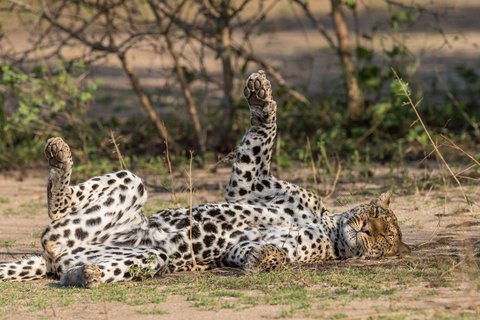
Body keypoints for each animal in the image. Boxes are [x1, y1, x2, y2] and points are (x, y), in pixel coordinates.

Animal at [0, 70, 408, 288]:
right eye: (375, 215)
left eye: (386, 240)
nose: (368, 230)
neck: (329, 225)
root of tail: (53, 256)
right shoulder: (249, 185)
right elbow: (263, 136)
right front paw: (261, 96)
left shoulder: (246, 243)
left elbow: (269, 254)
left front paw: (265, 256)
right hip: (130, 181)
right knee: (61, 201)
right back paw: (58, 156)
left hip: (148, 256)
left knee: (68, 245)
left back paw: (84, 274)